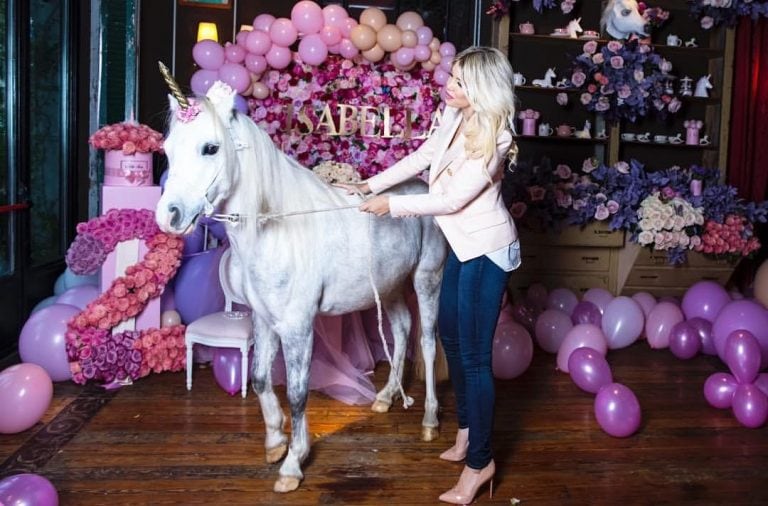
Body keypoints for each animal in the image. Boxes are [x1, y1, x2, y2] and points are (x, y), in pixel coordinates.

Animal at [158, 81, 444, 492]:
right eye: (167, 149)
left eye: (210, 148)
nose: (169, 216)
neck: (274, 231)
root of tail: (423, 188)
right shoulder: (263, 320)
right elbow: (260, 379)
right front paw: (275, 441)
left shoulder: (297, 327)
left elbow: (296, 393)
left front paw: (293, 463)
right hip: (388, 288)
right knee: (403, 329)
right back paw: (386, 397)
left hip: (427, 279)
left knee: (426, 342)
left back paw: (430, 422)